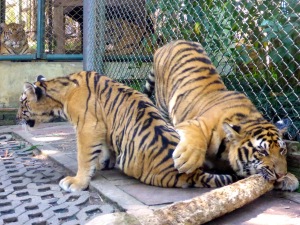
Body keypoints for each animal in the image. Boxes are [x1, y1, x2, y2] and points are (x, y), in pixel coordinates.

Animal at [17, 71, 241, 192]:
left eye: (22, 103)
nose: (17, 117)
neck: (60, 94)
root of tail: (193, 173)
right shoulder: (105, 128)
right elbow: (104, 149)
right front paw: (103, 163)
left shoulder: (88, 127)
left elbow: (84, 157)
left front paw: (77, 182)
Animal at [144, 40, 298, 192]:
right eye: (262, 151)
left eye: (282, 150)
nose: (281, 174)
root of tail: (169, 43)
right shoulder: (194, 123)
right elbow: (196, 138)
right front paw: (187, 160)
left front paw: (290, 179)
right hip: (162, 105)